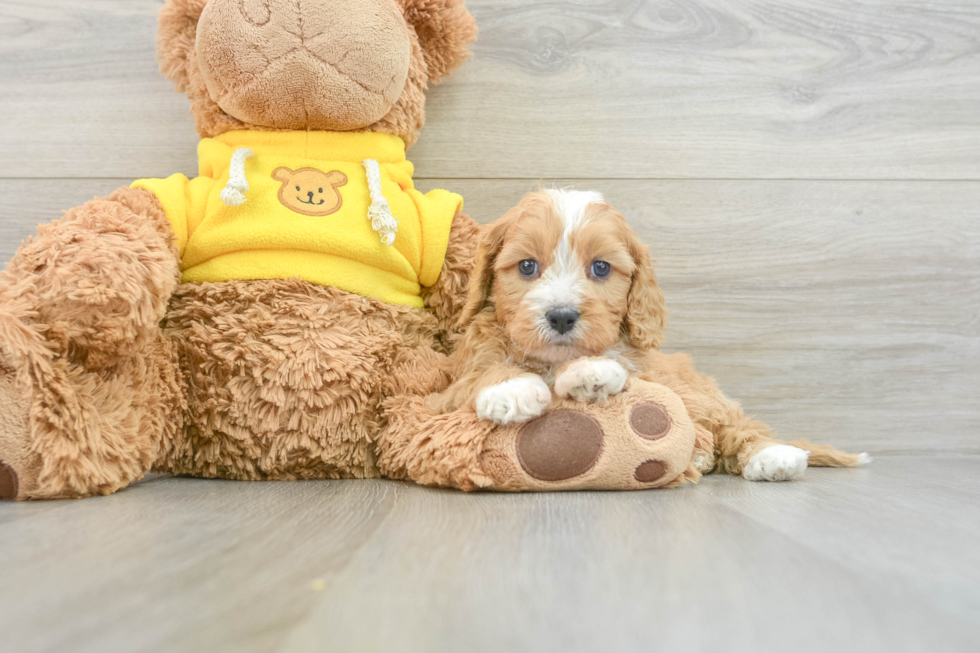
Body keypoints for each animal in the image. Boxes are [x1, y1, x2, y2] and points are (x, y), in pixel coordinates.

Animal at [432, 186, 868, 482]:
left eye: (601, 268)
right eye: (526, 266)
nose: (561, 317)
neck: (554, 362)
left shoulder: (648, 373)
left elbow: (623, 374)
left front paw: (591, 372)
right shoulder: (448, 389)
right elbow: (479, 375)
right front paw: (512, 388)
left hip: (701, 394)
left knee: (736, 426)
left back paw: (772, 455)